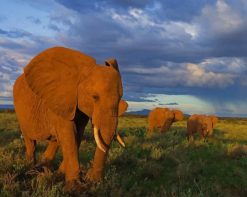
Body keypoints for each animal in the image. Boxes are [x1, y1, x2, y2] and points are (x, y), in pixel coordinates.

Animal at [13, 46, 124, 191]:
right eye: (94, 97)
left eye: (120, 98)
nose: (93, 180)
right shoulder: (60, 100)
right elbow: (69, 134)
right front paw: (75, 187)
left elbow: (76, 135)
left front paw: (62, 176)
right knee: (30, 141)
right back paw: (32, 170)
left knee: (55, 140)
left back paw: (46, 170)